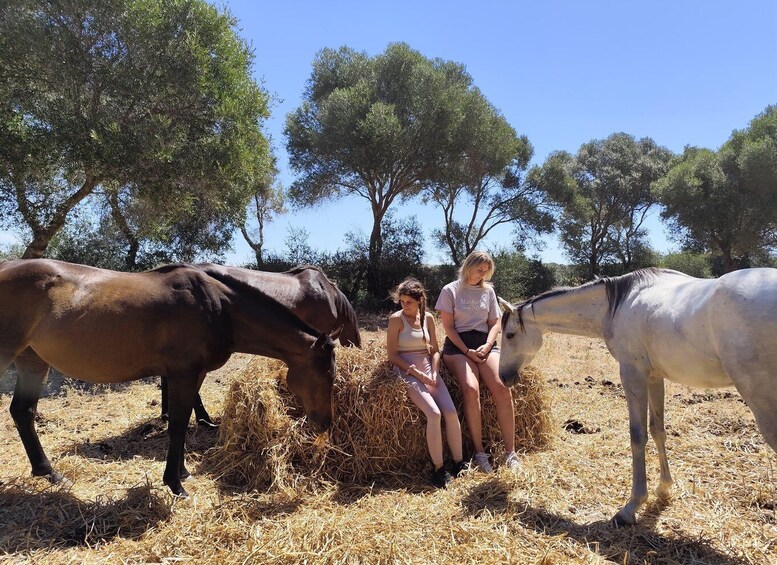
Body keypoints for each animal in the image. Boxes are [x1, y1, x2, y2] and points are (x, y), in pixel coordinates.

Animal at [0, 258, 339, 497]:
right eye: (326, 373)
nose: (325, 423)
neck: (218, 307)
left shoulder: (194, 375)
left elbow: (184, 423)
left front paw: (183, 472)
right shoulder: (183, 375)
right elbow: (176, 427)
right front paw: (176, 484)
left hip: (33, 362)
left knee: (23, 412)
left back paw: (49, 473)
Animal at [497, 267, 777, 525]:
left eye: (509, 334)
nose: (503, 377)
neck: (616, 306)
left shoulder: (632, 374)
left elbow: (638, 436)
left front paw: (631, 506)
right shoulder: (654, 377)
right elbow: (658, 430)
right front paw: (664, 487)